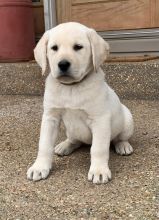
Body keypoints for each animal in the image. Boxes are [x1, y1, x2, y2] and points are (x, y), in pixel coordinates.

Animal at [26, 21, 134, 184]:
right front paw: (39, 167)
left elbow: (98, 148)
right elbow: (44, 144)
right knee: (75, 140)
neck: (71, 88)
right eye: (54, 48)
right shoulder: (50, 117)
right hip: (71, 130)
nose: (63, 64)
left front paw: (99, 170)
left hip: (127, 120)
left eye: (78, 47)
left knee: (118, 138)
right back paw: (65, 145)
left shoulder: (100, 119)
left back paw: (123, 145)